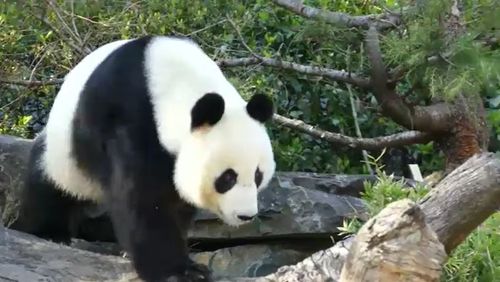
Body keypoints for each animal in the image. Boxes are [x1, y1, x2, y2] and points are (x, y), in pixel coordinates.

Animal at [11, 35, 276, 282]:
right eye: (227, 177)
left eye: (257, 175)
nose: (246, 215)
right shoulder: (130, 119)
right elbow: (144, 202)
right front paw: (180, 271)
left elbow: (176, 203)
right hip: (63, 157)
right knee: (49, 188)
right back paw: (48, 232)